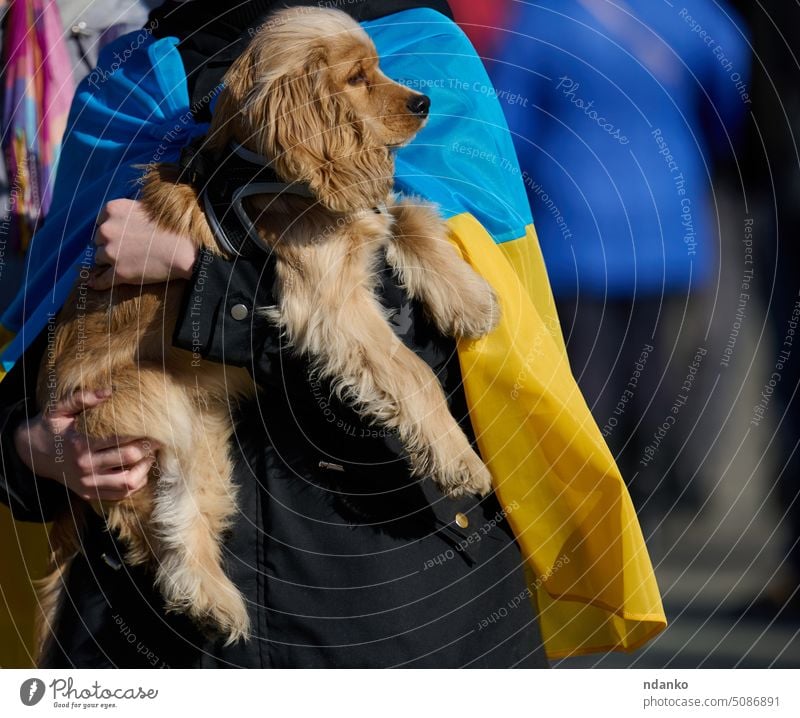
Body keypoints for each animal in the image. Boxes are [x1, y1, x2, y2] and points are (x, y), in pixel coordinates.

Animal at [39, 5, 500, 656]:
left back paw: (213, 607)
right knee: (162, 527)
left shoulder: (358, 223)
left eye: (380, 66)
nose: (424, 103)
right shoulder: (328, 303)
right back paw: (216, 603)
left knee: (173, 521)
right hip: (151, 407)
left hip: (203, 434)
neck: (261, 171)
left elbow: (406, 213)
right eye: (356, 78)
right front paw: (460, 461)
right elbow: (411, 372)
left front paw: (468, 296)